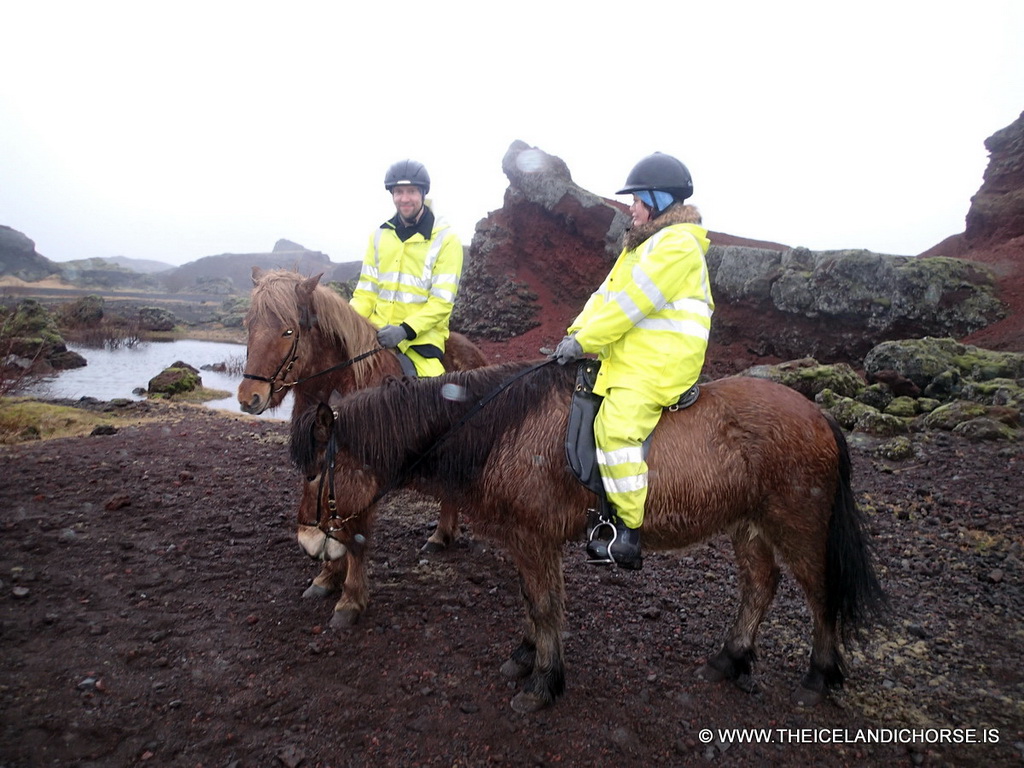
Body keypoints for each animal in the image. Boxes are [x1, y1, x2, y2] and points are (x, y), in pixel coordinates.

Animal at [237, 268, 485, 626]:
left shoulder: (364, 475)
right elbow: (327, 514)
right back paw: (442, 536)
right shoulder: (321, 465)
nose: (249, 397)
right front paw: (327, 577)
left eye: (288, 330)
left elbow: (355, 535)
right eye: (249, 325)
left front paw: (351, 599)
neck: (343, 385)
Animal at [290, 360, 888, 716]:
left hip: (797, 523)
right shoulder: (532, 541)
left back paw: (820, 674)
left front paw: (542, 683)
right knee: (761, 586)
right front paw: (528, 656)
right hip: (749, 525)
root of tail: (820, 415)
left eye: (315, 472)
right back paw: (731, 657)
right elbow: (535, 603)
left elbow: (544, 605)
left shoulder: (532, 537)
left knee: (820, 593)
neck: (504, 427)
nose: (310, 545)